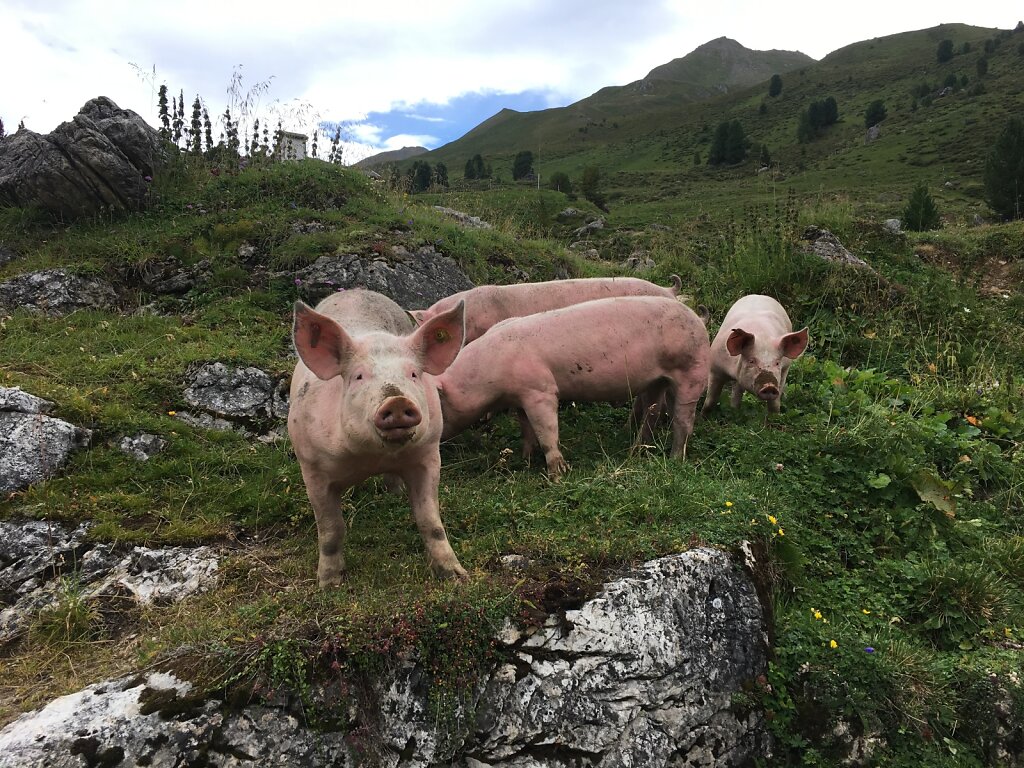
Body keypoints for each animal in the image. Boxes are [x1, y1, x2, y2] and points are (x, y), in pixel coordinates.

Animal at [286, 290, 466, 589]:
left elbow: (430, 521)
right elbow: (331, 530)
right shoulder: (312, 468)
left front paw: (456, 576)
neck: (372, 458)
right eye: (358, 376)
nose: (397, 400)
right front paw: (328, 585)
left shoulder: (428, 455)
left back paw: (396, 493)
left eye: (413, 374)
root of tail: (356, 291)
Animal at [434, 296, 712, 479]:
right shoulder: (520, 396)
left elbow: (547, 430)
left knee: (683, 419)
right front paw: (525, 459)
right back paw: (635, 452)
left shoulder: (540, 390)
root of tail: (698, 318)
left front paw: (557, 477)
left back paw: (675, 460)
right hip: (657, 380)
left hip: (692, 370)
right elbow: (526, 427)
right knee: (652, 412)